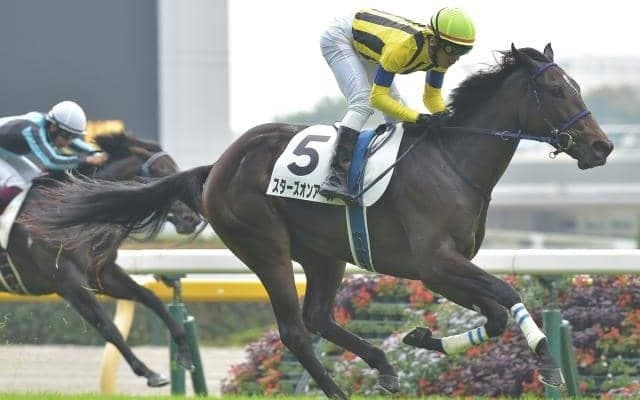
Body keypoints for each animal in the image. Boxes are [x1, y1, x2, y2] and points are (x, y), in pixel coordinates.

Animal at [3, 133, 202, 387]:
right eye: (164, 174)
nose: (192, 218)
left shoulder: (101, 273)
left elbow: (151, 298)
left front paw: (185, 355)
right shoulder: (68, 281)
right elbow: (107, 327)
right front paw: (149, 373)